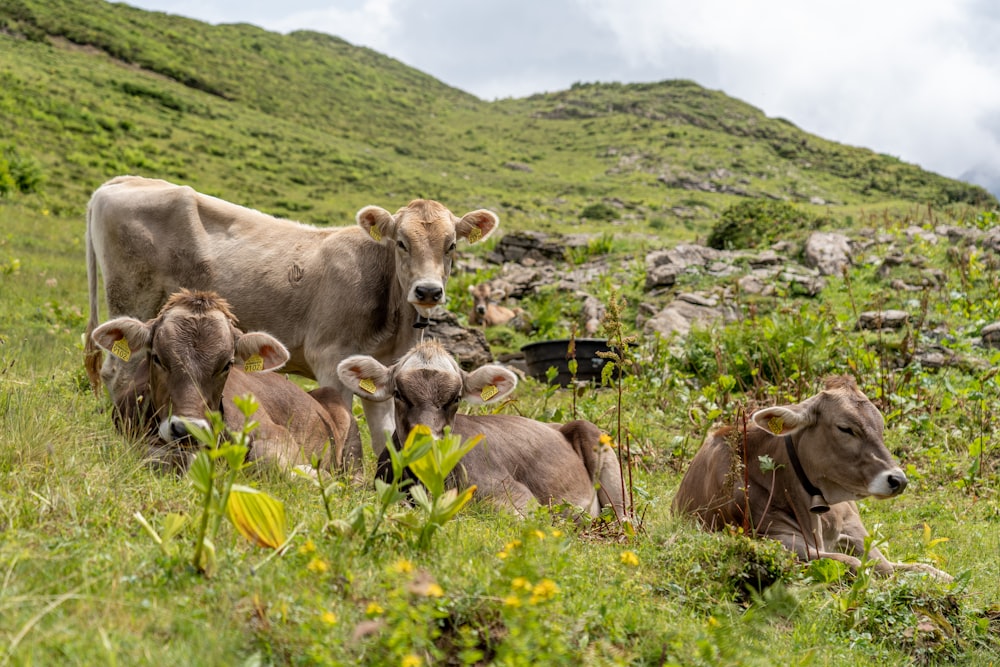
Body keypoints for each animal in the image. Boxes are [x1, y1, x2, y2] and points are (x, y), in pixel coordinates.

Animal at [676, 376, 948, 580]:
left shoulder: (850, 531)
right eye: (845, 428)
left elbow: (886, 565)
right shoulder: (776, 541)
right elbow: (854, 563)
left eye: (881, 427)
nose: (898, 480)